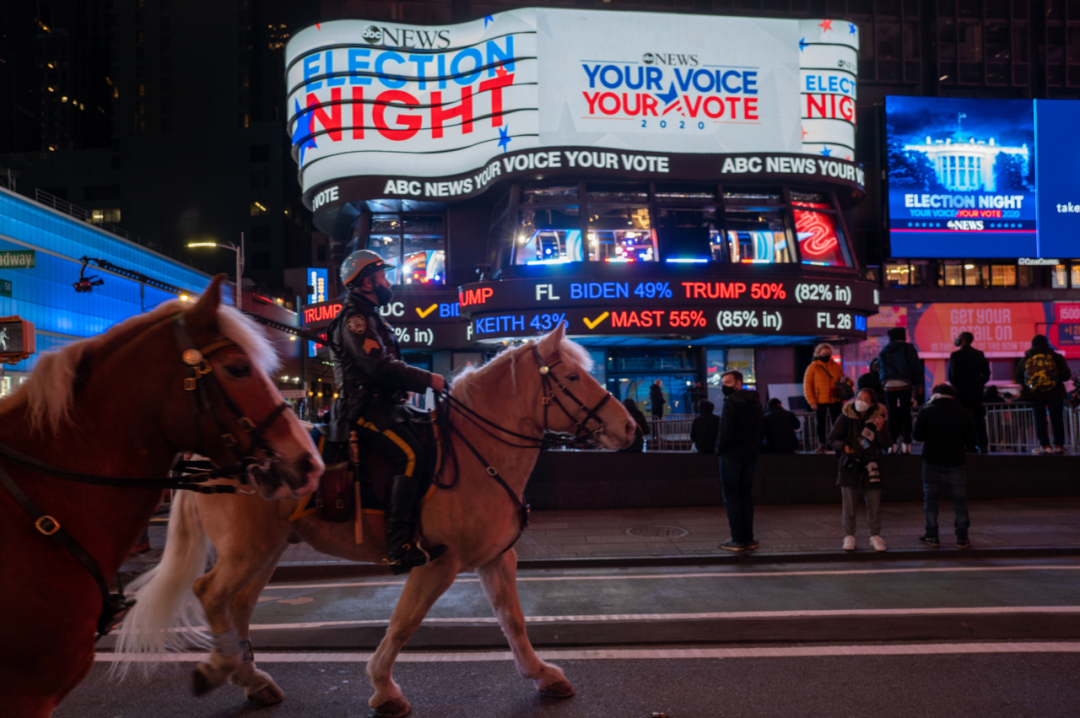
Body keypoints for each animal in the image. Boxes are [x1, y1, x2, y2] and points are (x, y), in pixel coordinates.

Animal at [117, 321, 635, 712]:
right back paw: (227, 669)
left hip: (265, 551)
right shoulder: (437, 563)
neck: (479, 453)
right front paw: (383, 688)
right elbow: (404, 621)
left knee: (238, 604)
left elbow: (513, 619)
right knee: (210, 593)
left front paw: (543, 674)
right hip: (246, 550)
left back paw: (254, 680)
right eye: (571, 377)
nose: (630, 426)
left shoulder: (495, 559)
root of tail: (209, 452)